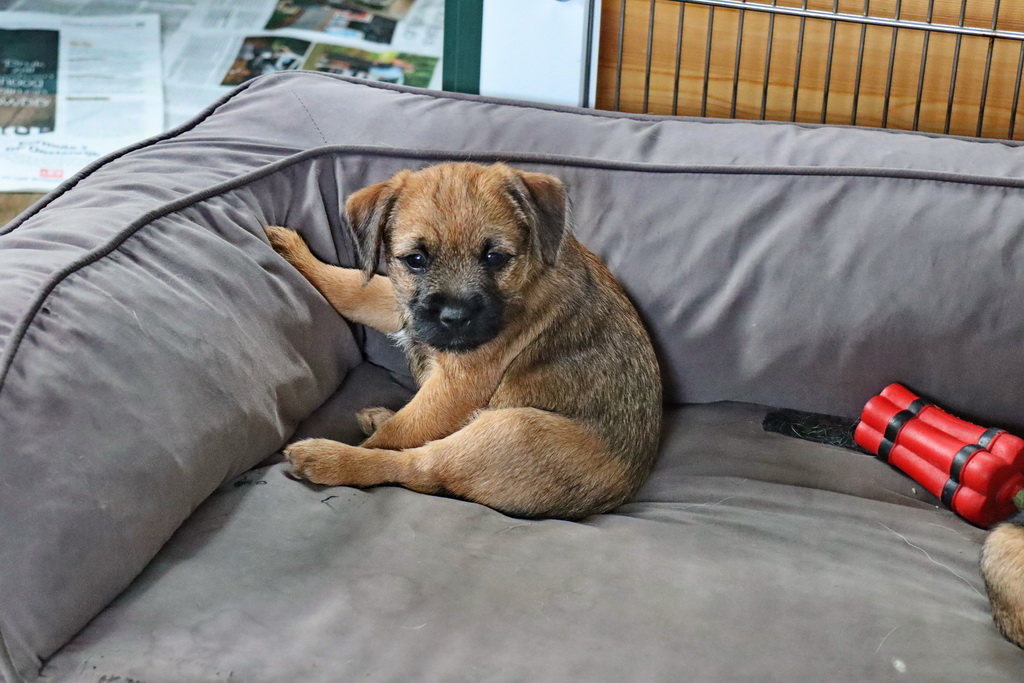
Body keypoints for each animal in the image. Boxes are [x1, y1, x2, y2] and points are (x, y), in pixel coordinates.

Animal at [265, 162, 661, 519]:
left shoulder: (457, 386)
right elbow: (349, 287)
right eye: (416, 259)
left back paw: (329, 458)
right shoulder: (399, 302)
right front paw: (293, 251)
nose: (455, 318)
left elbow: (400, 432)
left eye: (495, 257)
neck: (526, 275)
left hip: (510, 429)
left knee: (416, 467)